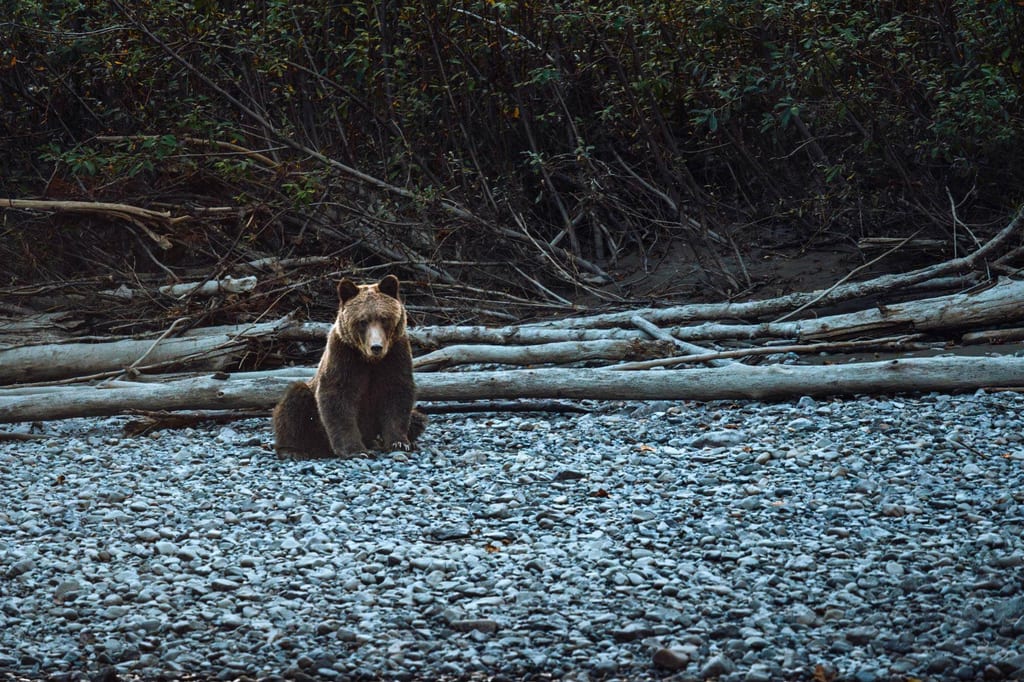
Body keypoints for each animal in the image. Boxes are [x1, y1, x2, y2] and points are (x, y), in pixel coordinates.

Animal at [272, 274, 426, 458]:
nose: (376, 347)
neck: (370, 360)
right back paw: (293, 450)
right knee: (294, 401)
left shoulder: (395, 354)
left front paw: (399, 442)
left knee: (418, 418)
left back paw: (379, 441)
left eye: (384, 318)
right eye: (362, 321)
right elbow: (338, 397)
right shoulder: (343, 355)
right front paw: (355, 450)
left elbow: (397, 394)